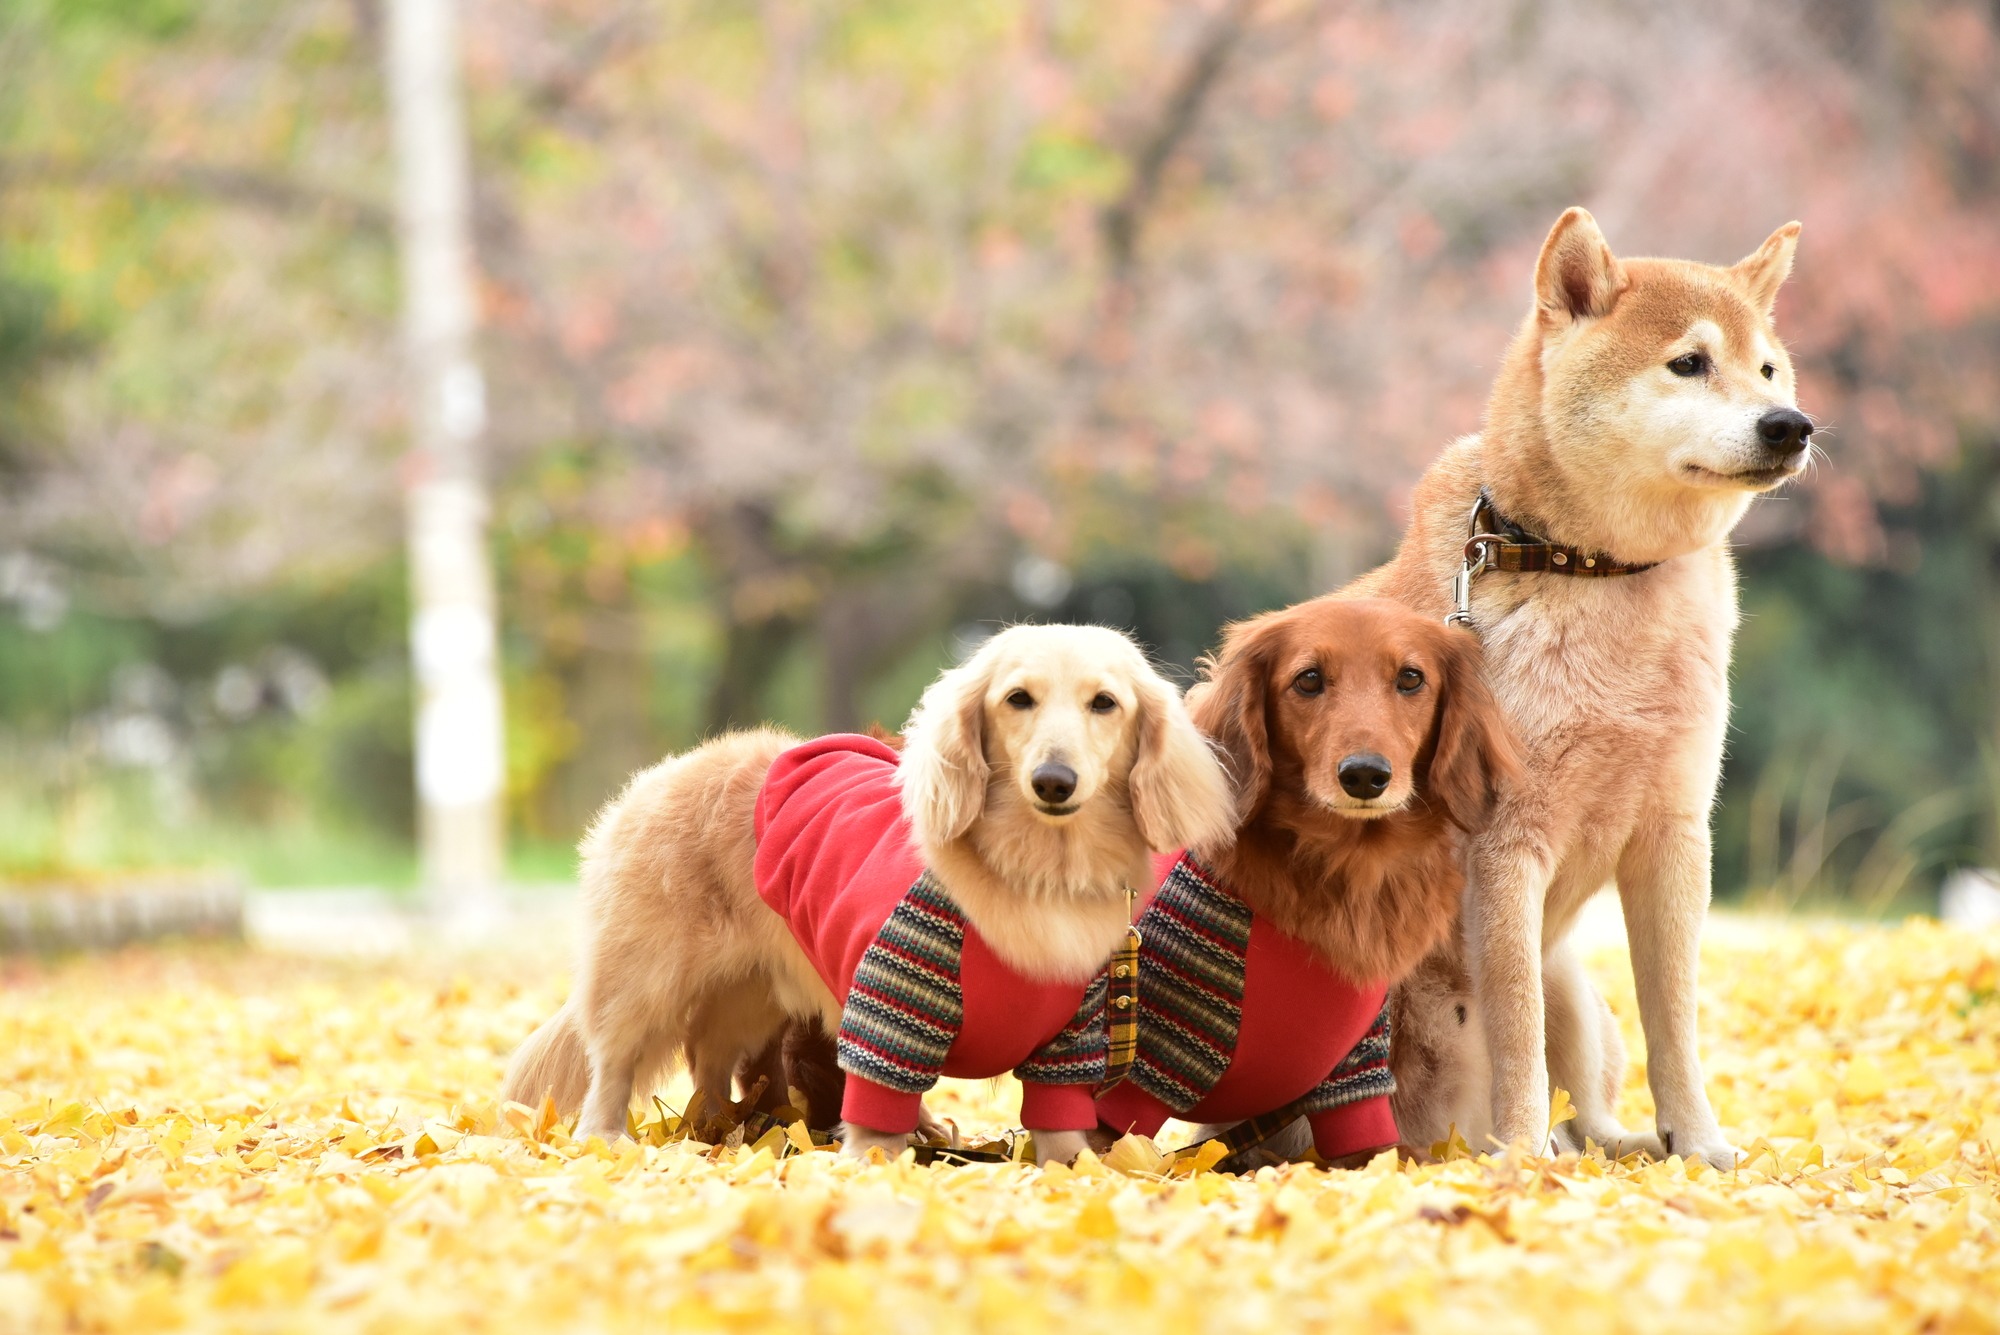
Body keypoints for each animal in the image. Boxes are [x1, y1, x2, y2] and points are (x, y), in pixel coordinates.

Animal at [1352, 208, 1808, 1167]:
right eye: (1689, 363)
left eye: (1767, 369)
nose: (1792, 424)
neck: (1592, 571)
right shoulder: (1504, 849)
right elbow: (1515, 1028)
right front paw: (1522, 1159)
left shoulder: (1675, 836)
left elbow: (1675, 1021)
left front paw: (1700, 1143)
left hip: (1578, 990)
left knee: (1591, 1115)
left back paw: (1625, 1144)